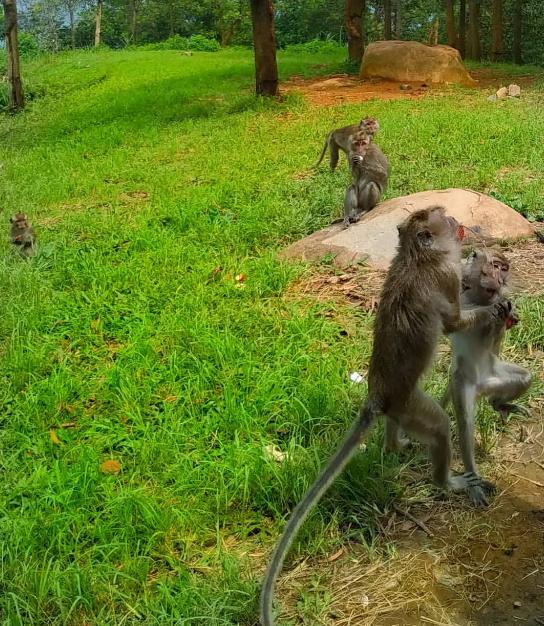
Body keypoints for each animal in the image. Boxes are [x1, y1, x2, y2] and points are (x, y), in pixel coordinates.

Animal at [260, 207, 510, 620]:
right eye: (444, 217)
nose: (458, 221)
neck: (416, 256)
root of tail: (378, 395)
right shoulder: (447, 275)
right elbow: (455, 323)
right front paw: (492, 308)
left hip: (403, 406)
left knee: (399, 429)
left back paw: (397, 445)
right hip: (413, 406)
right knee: (439, 427)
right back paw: (447, 482)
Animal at [442, 246, 532, 504]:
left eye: (504, 268)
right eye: (494, 265)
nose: (500, 279)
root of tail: (481, 386)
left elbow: (495, 341)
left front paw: (507, 314)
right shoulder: (457, 294)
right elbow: (453, 323)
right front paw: (491, 312)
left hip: (496, 376)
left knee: (525, 377)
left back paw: (500, 404)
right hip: (461, 382)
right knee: (465, 424)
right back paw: (473, 480)